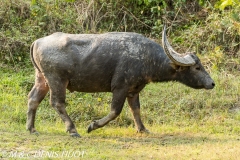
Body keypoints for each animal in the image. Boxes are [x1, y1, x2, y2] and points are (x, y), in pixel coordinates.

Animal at [27, 26, 215, 136]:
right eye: (197, 67)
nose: (212, 83)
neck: (146, 58)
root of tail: (37, 42)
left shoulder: (133, 90)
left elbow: (136, 109)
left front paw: (142, 129)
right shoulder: (120, 88)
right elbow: (115, 111)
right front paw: (93, 125)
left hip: (41, 79)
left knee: (33, 98)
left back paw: (31, 128)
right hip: (57, 80)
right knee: (57, 103)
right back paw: (73, 130)